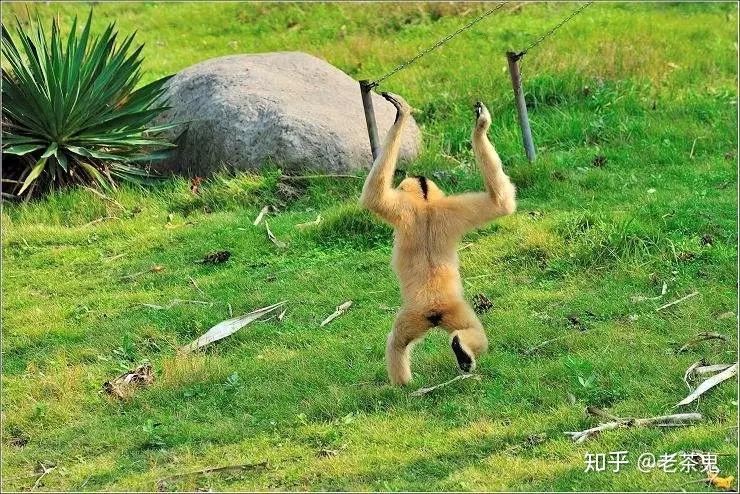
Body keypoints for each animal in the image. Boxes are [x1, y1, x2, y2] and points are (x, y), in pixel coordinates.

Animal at [360, 92, 517, 386]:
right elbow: (500, 203)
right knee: (468, 336)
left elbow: (374, 196)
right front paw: (480, 126)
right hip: (446, 310)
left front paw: (401, 113)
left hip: (422, 313)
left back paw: (409, 384)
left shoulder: (410, 210)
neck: (425, 206)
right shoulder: (446, 210)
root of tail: (433, 308)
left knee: (397, 343)